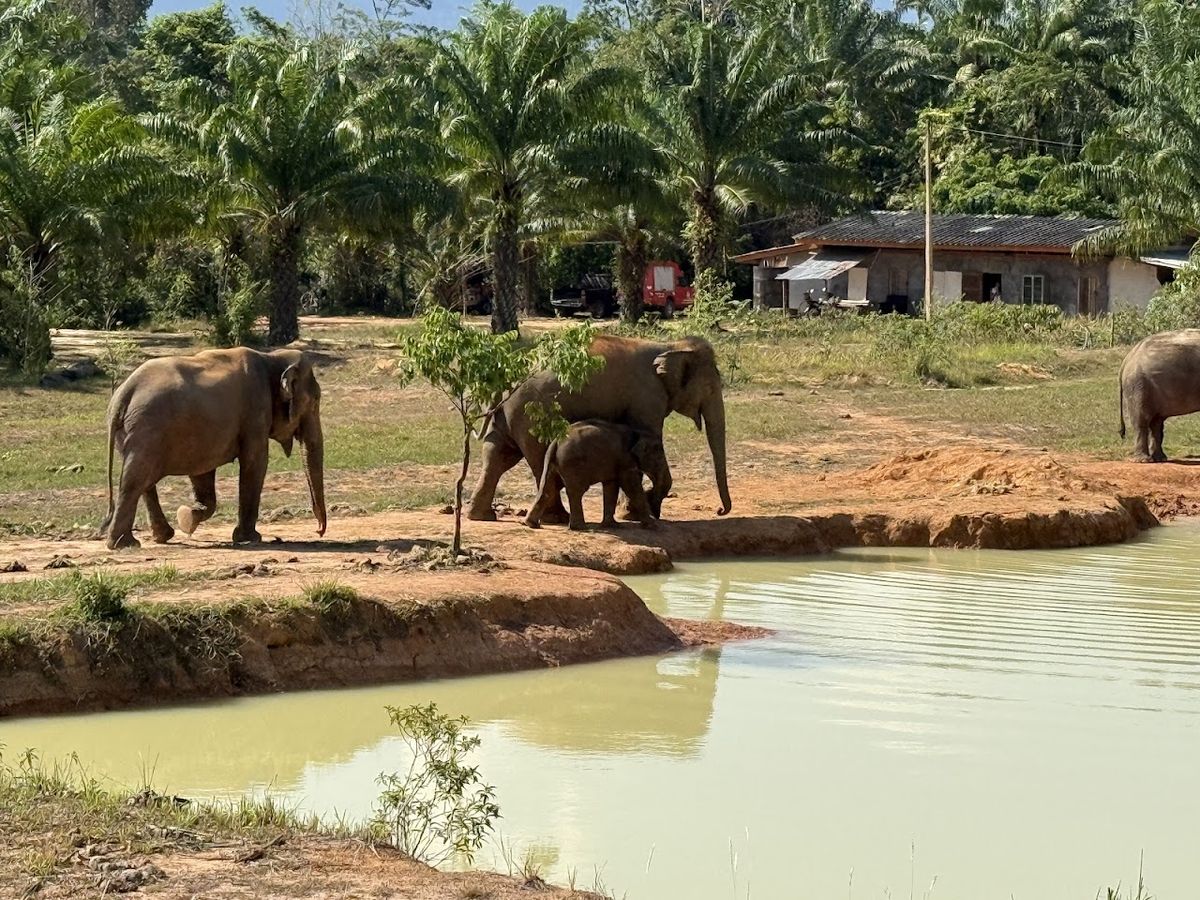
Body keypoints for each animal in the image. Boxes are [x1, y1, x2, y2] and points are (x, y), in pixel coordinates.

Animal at [100, 348, 326, 550]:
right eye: (316, 400)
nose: (319, 531)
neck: (271, 357)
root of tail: (124, 393)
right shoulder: (256, 410)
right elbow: (255, 462)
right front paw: (250, 538)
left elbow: (202, 472)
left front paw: (187, 518)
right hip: (148, 429)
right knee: (135, 481)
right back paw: (124, 544)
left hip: (136, 433)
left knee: (143, 481)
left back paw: (158, 537)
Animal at [524, 420, 669, 530]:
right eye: (659, 458)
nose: (656, 515)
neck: (637, 433)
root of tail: (556, 442)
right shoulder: (625, 460)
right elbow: (630, 486)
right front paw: (653, 526)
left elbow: (611, 486)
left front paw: (612, 525)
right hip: (573, 464)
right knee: (577, 491)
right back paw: (580, 527)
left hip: (553, 462)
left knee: (548, 488)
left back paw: (531, 524)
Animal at [1119, 329, 1200, 462]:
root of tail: (1128, 357)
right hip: (1139, 386)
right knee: (1142, 421)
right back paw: (1145, 460)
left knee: (1156, 423)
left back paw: (1160, 458)